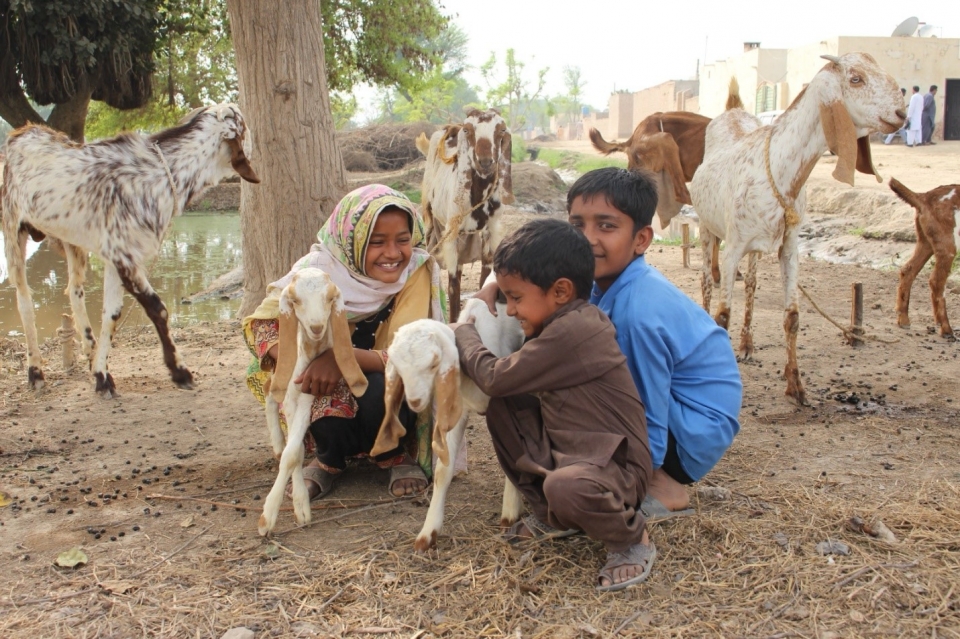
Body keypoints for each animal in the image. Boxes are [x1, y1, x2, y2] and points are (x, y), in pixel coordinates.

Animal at [376, 298, 524, 552]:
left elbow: (513, 453)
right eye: (396, 365)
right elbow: (443, 471)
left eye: (434, 363)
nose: (415, 402)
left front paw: (510, 513)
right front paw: (428, 533)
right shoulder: (459, 409)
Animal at [688, 53, 908, 404]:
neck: (779, 170)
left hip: (755, 248)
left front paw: (796, 386)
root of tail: (733, 110)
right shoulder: (733, 246)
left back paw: (747, 344)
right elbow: (722, 315)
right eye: (856, 79)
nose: (900, 114)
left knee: (751, 284)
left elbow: (792, 317)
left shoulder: (789, 246)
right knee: (706, 283)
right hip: (708, 228)